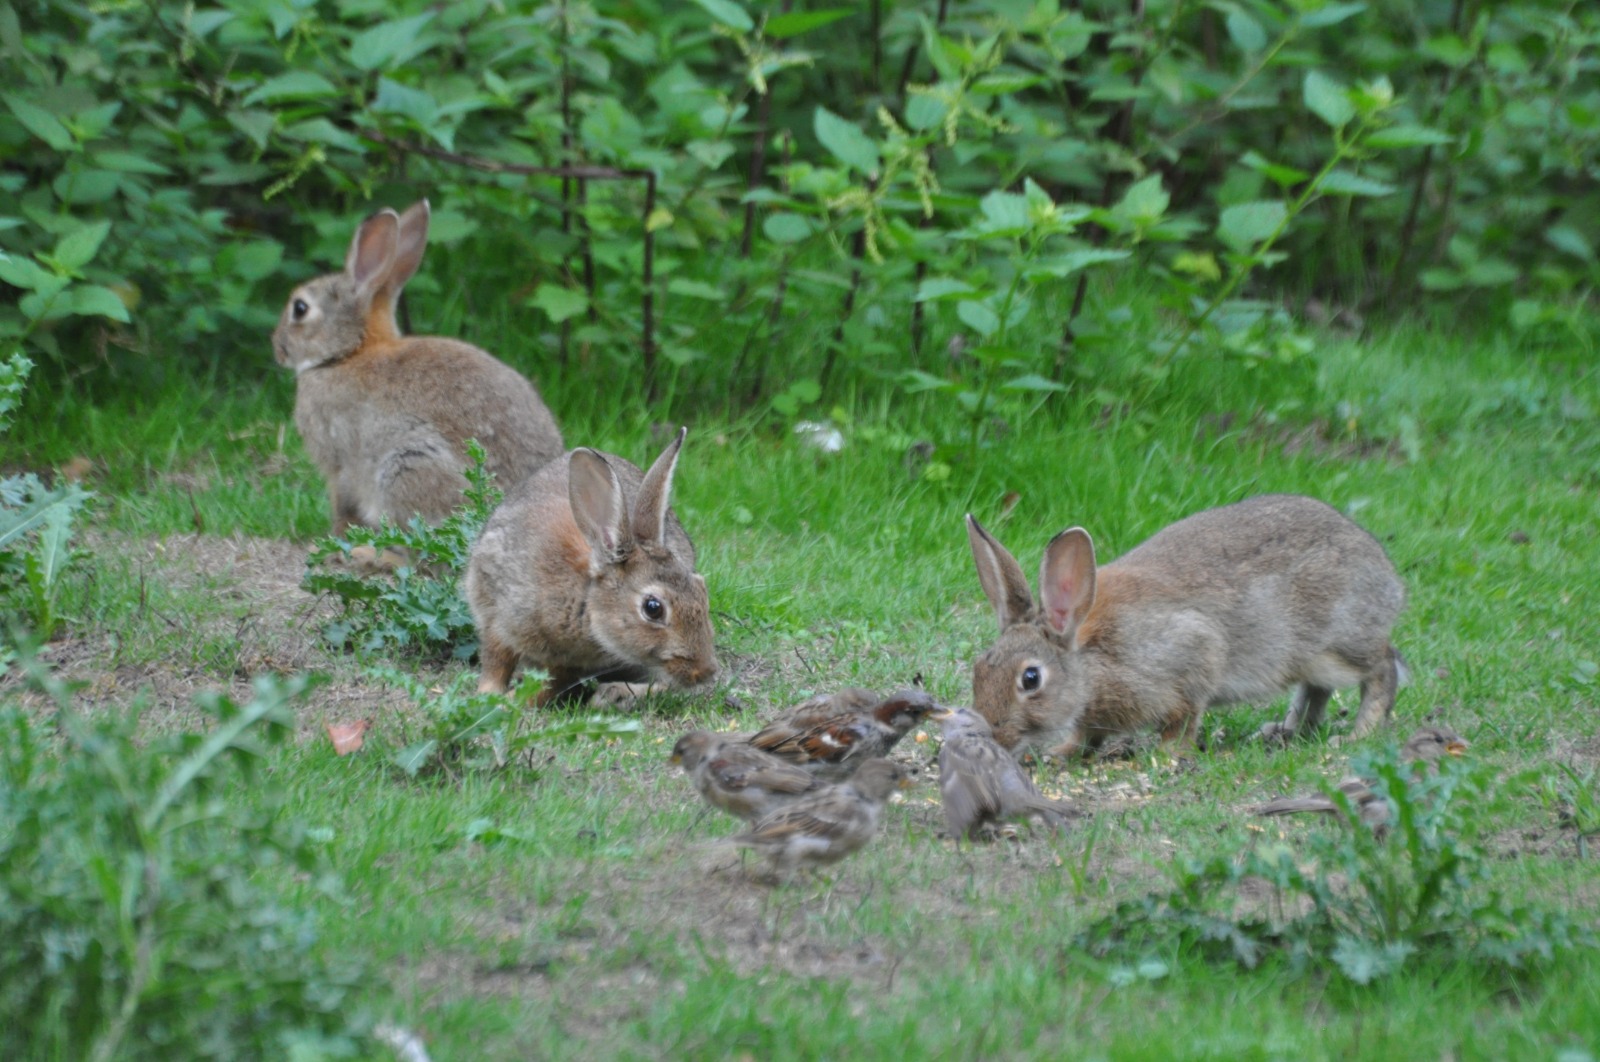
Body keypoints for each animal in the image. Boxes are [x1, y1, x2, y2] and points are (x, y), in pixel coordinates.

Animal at [278, 196, 566, 540]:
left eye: (300, 308)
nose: (277, 348)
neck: (349, 353)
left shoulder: (339, 461)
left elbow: (342, 499)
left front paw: (337, 533)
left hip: (408, 461)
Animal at [460, 422, 716, 703]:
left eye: (701, 590)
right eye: (653, 608)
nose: (706, 672)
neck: (582, 599)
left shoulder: (569, 665)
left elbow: (545, 686)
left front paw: (510, 701)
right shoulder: (497, 613)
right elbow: (496, 659)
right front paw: (488, 695)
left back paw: (614, 695)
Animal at [960, 495, 1401, 754]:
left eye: (1030, 679)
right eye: (979, 669)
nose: (993, 736)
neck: (1087, 661)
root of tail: (1385, 570)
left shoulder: (1193, 656)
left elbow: (1184, 717)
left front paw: (1168, 755)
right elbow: (1086, 735)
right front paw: (1061, 754)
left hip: (1336, 648)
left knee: (1383, 666)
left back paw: (1357, 734)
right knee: (1316, 691)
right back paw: (1284, 731)